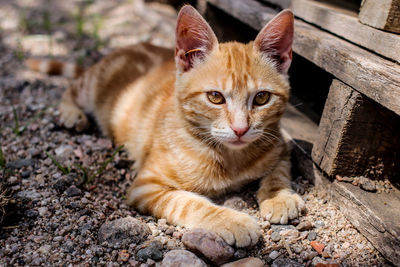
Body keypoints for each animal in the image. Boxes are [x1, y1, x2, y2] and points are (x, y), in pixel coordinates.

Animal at [26, 5, 304, 248]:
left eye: (261, 98)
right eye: (215, 97)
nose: (240, 129)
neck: (231, 157)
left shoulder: (281, 144)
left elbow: (279, 169)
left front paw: (278, 197)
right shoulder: (147, 186)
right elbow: (190, 203)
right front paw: (232, 221)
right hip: (91, 87)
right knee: (71, 89)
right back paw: (71, 113)